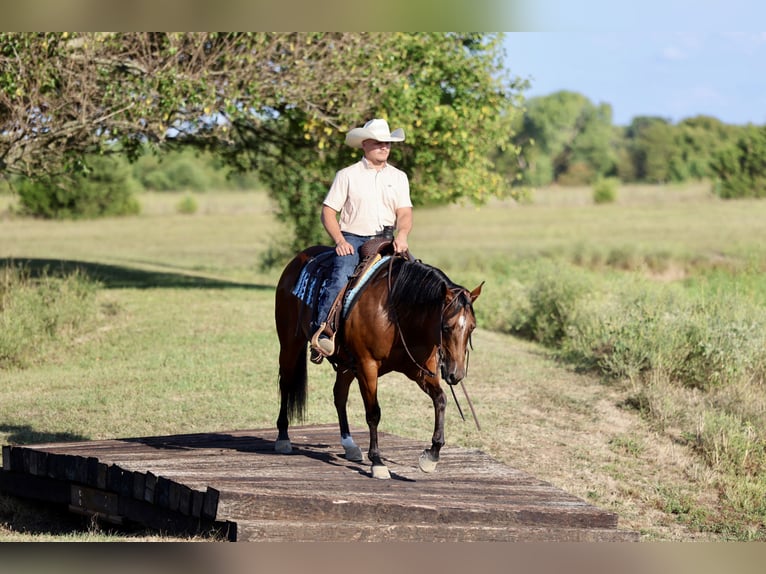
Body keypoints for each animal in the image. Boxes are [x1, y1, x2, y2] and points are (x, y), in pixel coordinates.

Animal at [273, 242, 483, 479]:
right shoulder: (367, 366)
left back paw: (350, 445)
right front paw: (378, 462)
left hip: (346, 365)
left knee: (339, 396)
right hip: (290, 344)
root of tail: (298, 259)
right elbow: (373, 413)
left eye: (472, 327)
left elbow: (441, 400)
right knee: (286, 384)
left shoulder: (419, 371)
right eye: (446, 327)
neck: (398, 313)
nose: (456, 374)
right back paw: (283, 437)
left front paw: (431, 455)